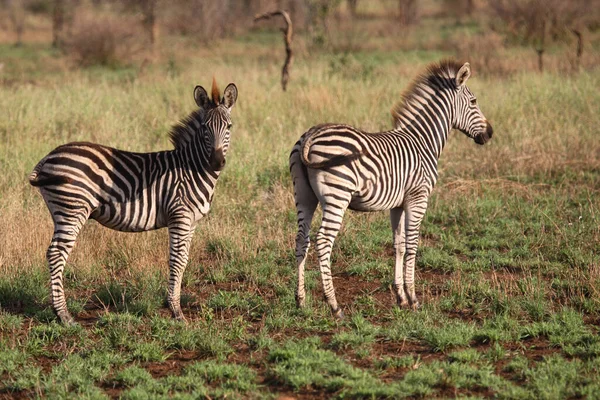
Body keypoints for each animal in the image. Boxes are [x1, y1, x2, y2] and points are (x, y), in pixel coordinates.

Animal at [29, 79, 238, 324]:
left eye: (229, 127)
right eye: (205, 128)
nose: (216, 162)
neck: (191, 168)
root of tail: (48, 157)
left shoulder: (192, 222)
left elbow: (185, 259)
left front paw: (174, 306)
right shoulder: (179, 216)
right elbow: (177, 261)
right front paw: (176, 311)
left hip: (61, 210)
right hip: (72, 209)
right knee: (55, 254)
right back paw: (63, 315)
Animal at [290, 59, 492, 318]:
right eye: (474, 101)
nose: (489, 133)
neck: (423, 141)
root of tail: (310, 135)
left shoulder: (398, 204)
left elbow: (399, 246)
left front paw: (400, 297)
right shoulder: (418, 198)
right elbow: (413, 244)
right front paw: (414, 299)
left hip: (304, 195)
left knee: (301, 240)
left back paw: (301, 300)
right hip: (337, 196)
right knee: (323, 241)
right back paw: (334, 306)